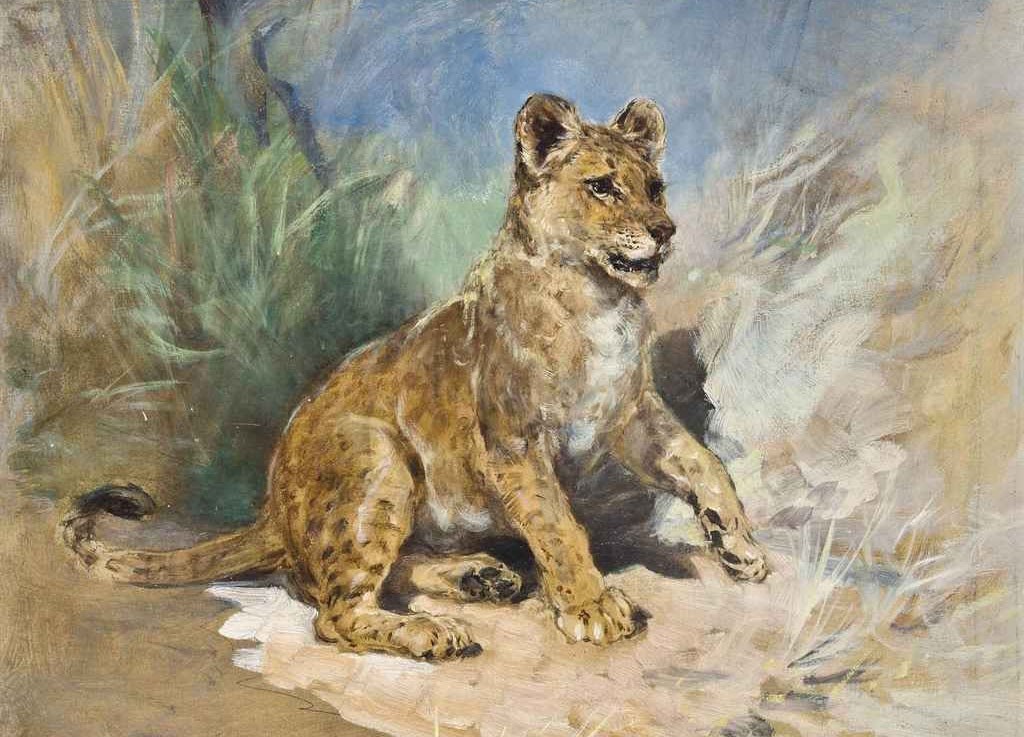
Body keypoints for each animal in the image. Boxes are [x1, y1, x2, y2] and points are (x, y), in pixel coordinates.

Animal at [62, 94, 769, 661]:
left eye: (656, 186)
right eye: (601, 186)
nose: (665, 230)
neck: (601, 301)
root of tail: (272, 513)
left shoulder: (632, 413)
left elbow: (703, 462)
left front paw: (739, 547)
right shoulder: (514, 441)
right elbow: (559, 526)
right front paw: (591, 608)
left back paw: (479, 578)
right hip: (378, 462)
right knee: (333, 610)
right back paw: (433, 632)